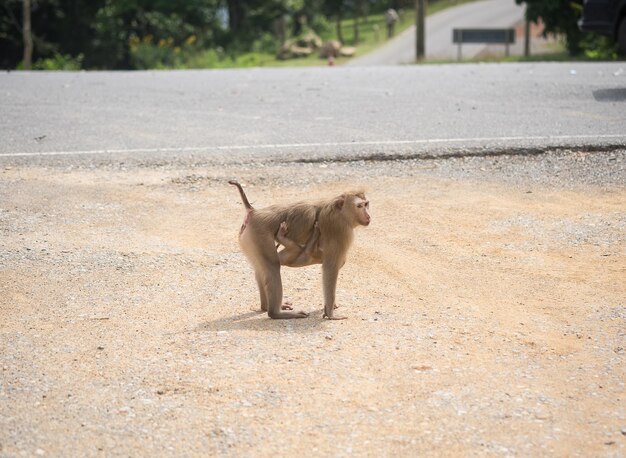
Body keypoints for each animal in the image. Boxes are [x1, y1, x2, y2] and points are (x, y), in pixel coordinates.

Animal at [229, 181, 368, 320]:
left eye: (366, 204)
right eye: (359, 206)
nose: (368, 216)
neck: (340, 212)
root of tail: (254, 212)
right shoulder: (340, 230)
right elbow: (331, 267)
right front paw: (330, 314)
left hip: (248, 240)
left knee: (261, 269)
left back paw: (265, 306)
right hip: (259, 234)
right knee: (273, 266)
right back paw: (276, 313)